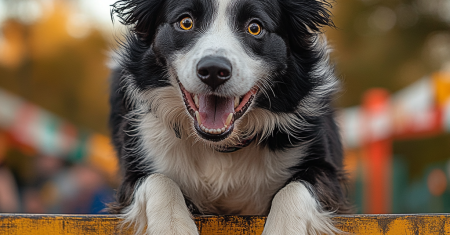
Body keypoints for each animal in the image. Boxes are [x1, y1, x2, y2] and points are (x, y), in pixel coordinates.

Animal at [108, 0, 352, 233]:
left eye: (255, 27)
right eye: (185, 22)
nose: (213, 71)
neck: (221, 147)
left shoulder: (327, 175)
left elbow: (296, 187)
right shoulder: (138, 166)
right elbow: (158, 179)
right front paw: (173, 227)